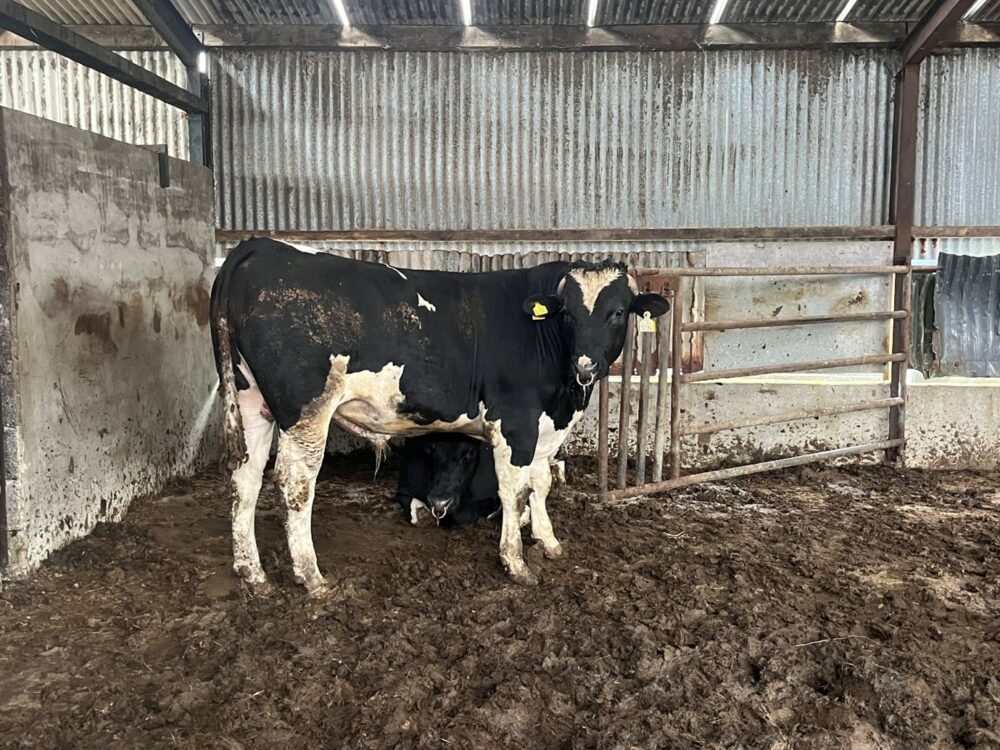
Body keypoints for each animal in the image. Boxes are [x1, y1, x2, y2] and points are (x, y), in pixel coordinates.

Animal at [210, 238, 668, 592]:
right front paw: (516, 562)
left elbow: (541, 483)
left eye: (618, 311)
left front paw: (549, 542)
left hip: (252, 402)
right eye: (569, 313)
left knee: (245, 479)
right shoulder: (516, 423)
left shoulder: (543, 428)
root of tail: (261, 246)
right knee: (295, 484)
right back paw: (311, 576)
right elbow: (515, 492)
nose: (586, 366)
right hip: (306, 413)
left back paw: (252, 572)